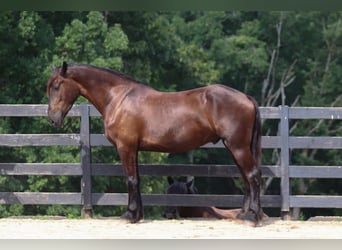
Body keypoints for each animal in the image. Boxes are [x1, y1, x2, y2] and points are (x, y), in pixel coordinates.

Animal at [46, 62, 264, 225]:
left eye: (57, 86)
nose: (53, 119)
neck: (119, 99)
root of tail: (246, 97)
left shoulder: (125, 147)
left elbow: (130, 179)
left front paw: (129, 215)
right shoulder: (134, 149)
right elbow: (137, 179)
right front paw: (137, 215)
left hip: (237, 147)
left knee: (252, 176)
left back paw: (252, 217)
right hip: (234, 147)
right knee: (246, 178)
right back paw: (244, 214)